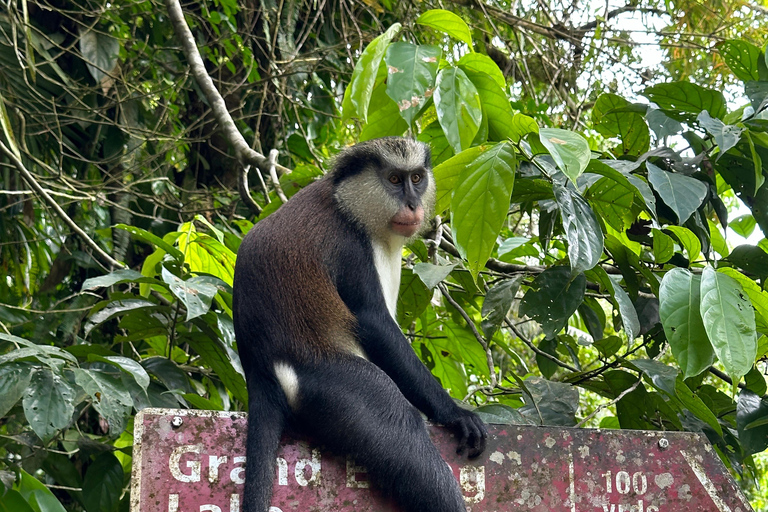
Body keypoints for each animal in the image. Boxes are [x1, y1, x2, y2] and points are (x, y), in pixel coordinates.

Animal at [231, 136, 488, 512]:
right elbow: (374, 322)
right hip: (341, 385)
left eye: (416, 178)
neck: (348, 203)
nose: (412, 204)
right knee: (402, 432)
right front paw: (454, 412)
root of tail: (262, 371)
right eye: (394, 180)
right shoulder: (351, 247)